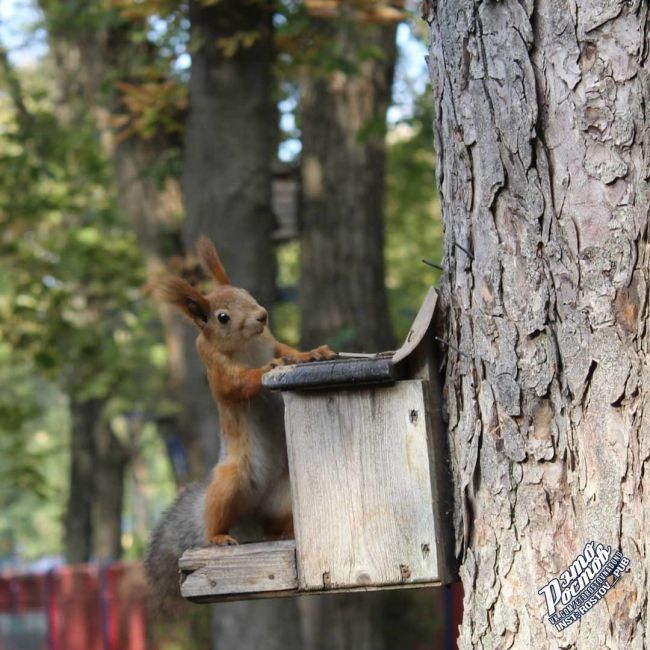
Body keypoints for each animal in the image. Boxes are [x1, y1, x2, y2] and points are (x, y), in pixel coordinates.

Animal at [142, 235, 334, 612]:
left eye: (246, 292)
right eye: (222, 317)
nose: (262, 315)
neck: (248, 345)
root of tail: (250, 510)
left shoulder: (270, 339)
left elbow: (289, 349)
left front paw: (312, 354)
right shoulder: (215, 369)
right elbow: (239, 384)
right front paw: (267, 369)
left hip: (285, 496)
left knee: (270, 528)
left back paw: (283, 532)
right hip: (230, 482)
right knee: (215, 517)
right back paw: (219, 536)